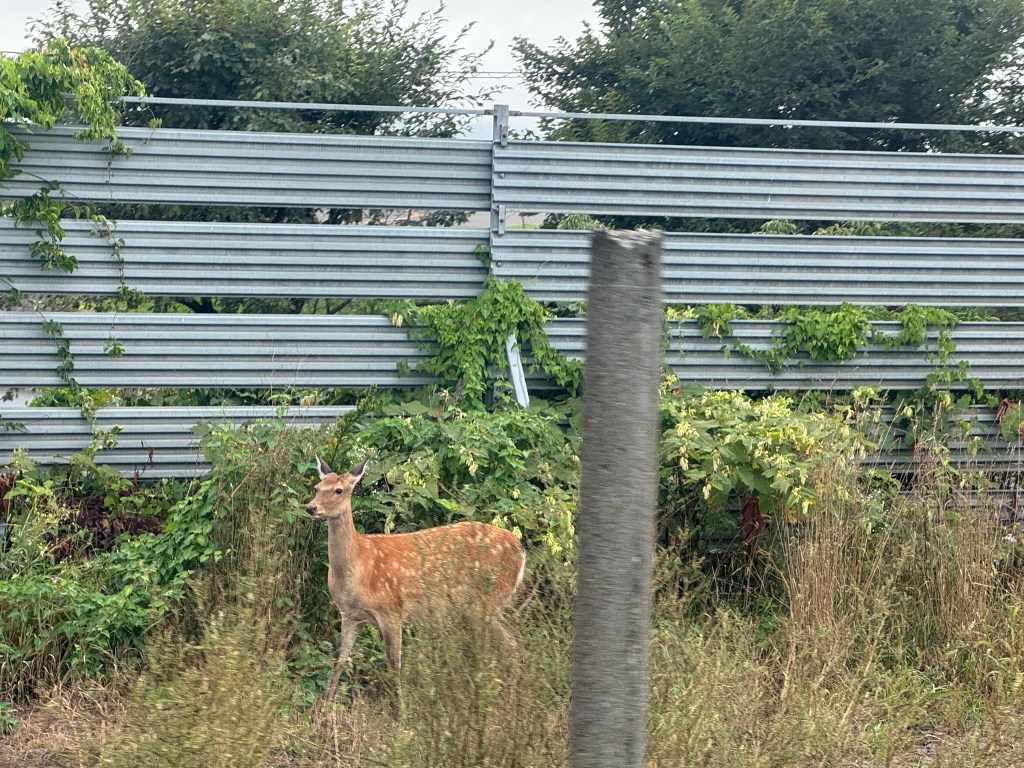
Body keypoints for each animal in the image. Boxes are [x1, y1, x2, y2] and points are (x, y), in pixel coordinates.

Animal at [305, 456, 526, 702]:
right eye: (317, 487)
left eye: (338, 490)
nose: (311, 507)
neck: (359, 566)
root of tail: (520, 550)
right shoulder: (350, 615)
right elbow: (340, 660)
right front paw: (324, 706)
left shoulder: (391, 610)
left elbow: (395, 665)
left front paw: (401, 708)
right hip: (490, 605)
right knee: (515, 642)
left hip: (486, 600)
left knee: (497, 647)